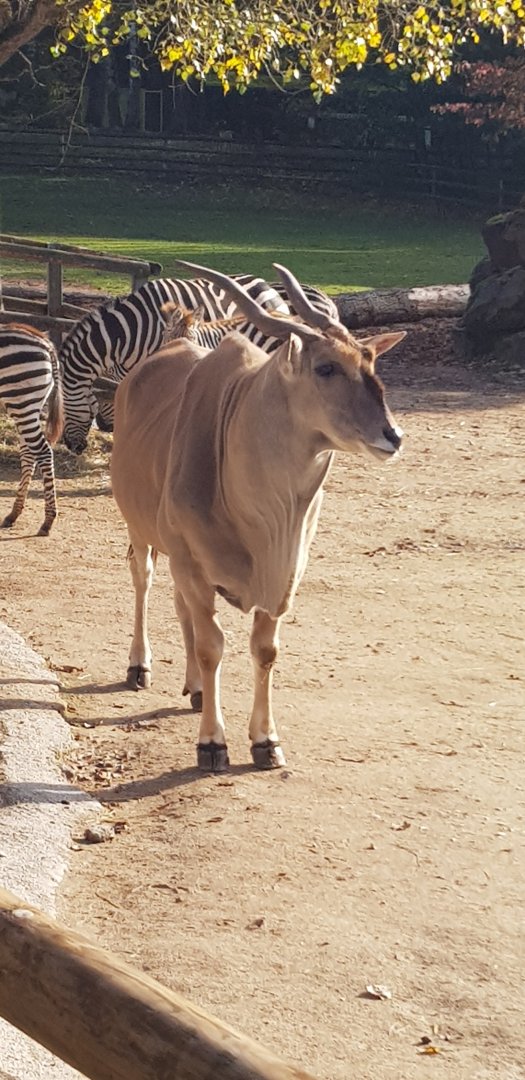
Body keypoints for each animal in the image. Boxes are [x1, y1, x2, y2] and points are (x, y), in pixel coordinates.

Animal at [110, 262, 405, 772]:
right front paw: (212, 742)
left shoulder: (284, 576)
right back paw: (139, 665)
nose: (393, 435)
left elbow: (264, 649)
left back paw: (195, 689)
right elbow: (212, 645)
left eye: (372, 363)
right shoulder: (192, 563)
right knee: (144, 580)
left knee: (181, 607)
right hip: (143, 531)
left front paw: (266, 740)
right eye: (326, 367)